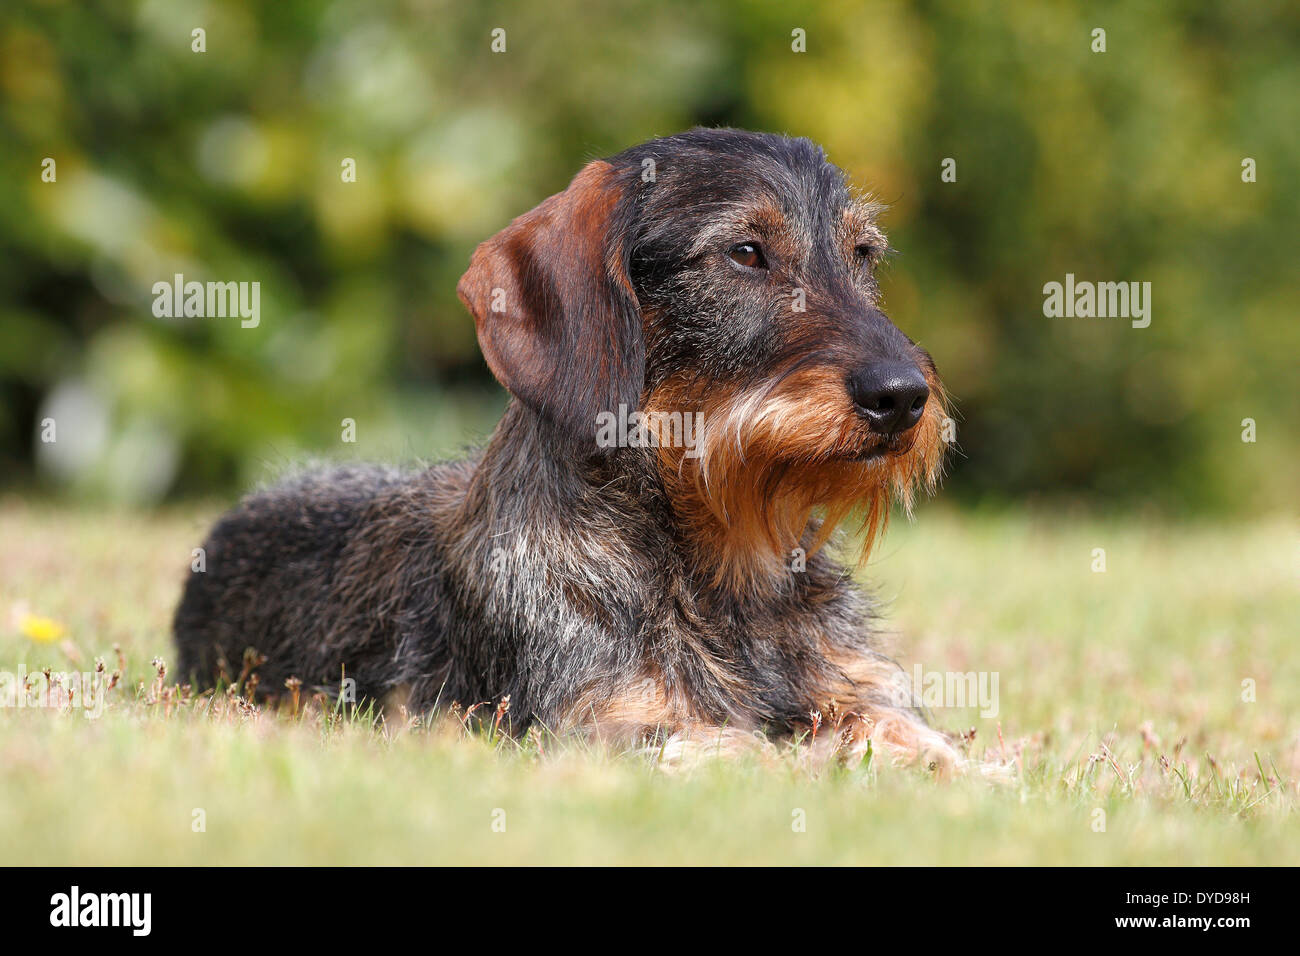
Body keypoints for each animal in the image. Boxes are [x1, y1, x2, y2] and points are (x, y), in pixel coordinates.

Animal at [175, 127, 956, 770]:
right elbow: (735, 749)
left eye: (863, 254)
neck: (728, 569)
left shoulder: (857, 689)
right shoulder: (598, 721)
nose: (902, 396)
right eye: (745, 252)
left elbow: (902, 727)